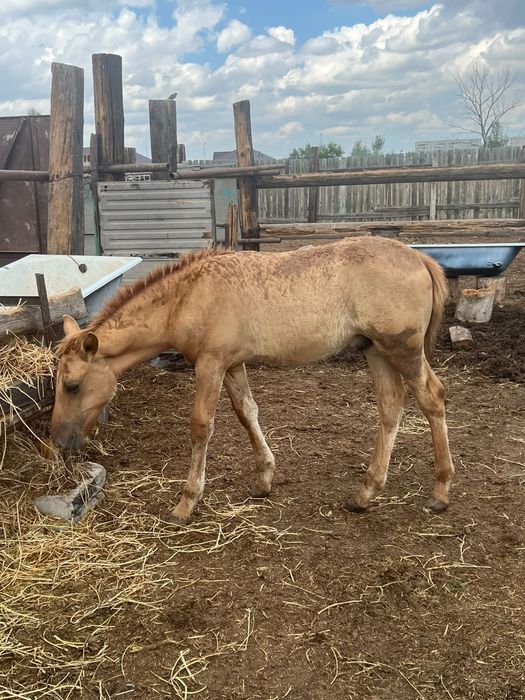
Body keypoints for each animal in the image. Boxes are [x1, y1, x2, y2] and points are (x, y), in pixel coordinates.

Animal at [50, 236, 454, 524]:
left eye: (72, 385)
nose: (58, 440)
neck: (188, 296)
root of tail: (419, 258)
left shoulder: (210, 365)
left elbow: (201, 426)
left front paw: (186, 503)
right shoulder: (232, 365)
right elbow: (248, 413)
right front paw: (264, 479)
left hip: (402, 349)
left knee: (432, 398)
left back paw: (440, 491)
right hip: (376, 351)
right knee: (390, 407)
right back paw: (366, 493)